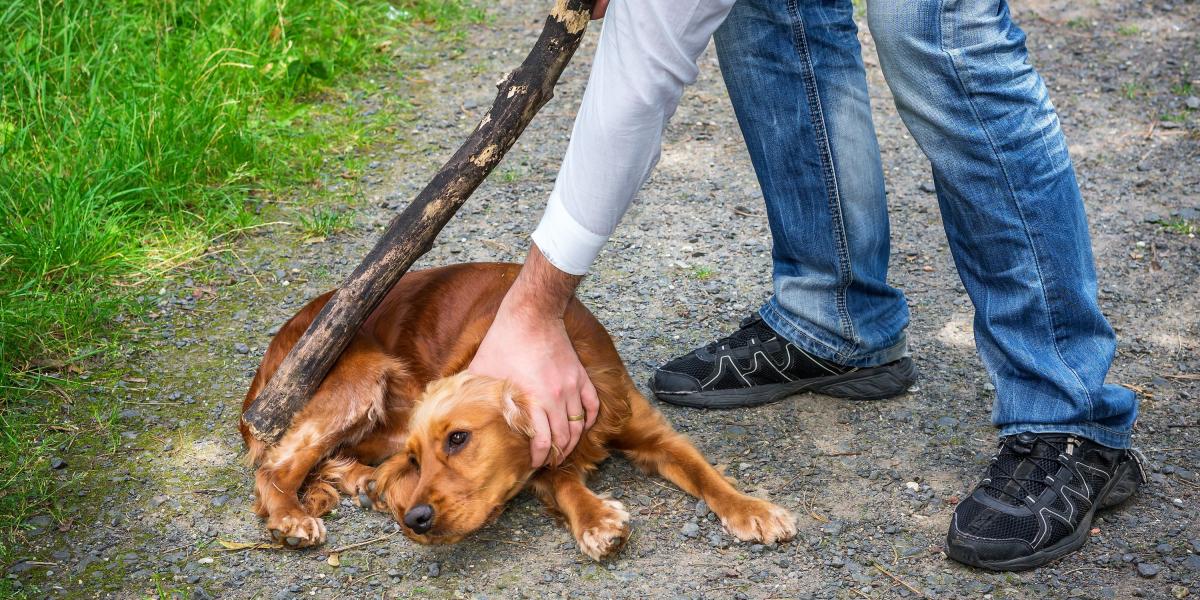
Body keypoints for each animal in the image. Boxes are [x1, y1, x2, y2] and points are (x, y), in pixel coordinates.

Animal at [238, 265, 796, 559]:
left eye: (458, 439)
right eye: (420, 458)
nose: (416, 519)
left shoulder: (652, 432)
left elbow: (706, 474)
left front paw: (753, 509)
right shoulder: (541, 461)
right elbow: (566, 484)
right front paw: (597, 519)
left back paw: (361, 484)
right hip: (360, 378)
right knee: (275, 466)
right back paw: (291, 517)